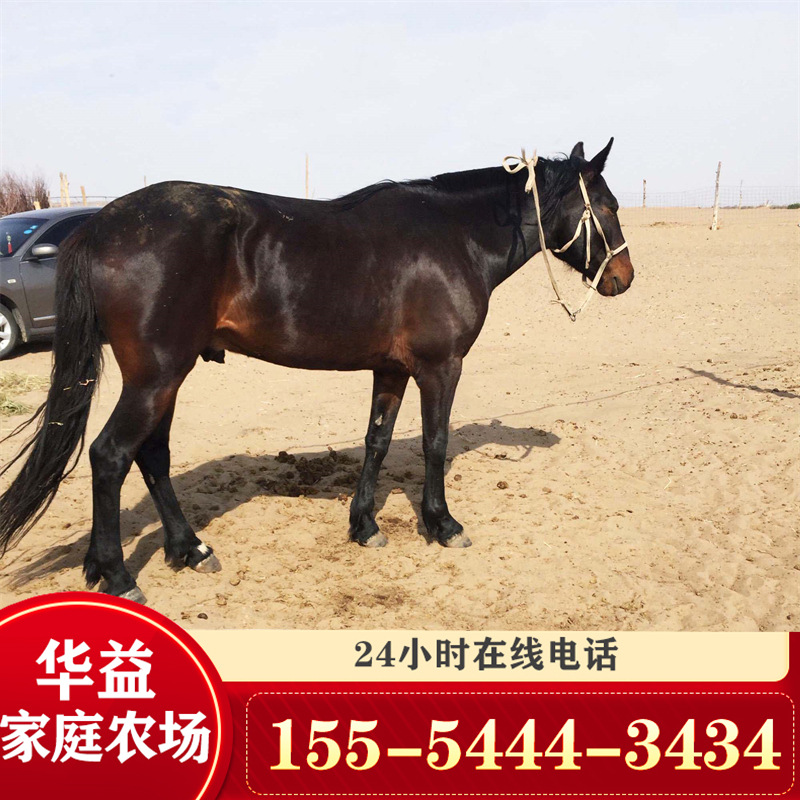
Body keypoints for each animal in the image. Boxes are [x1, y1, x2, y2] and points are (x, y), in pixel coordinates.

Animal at [0, 139, 634, 604]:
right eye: (607, 207)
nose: (624, 278)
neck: (453, 236)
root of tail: (101, 225)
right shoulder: (440, 368)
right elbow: (434, 443)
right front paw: (442, 524)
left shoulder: (391, 370)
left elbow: (378, 442)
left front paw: (365, 526)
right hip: (155, 378)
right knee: (111, 456)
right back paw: (119, 575)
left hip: (164, 379)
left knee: (152, 456)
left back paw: (190, 549)